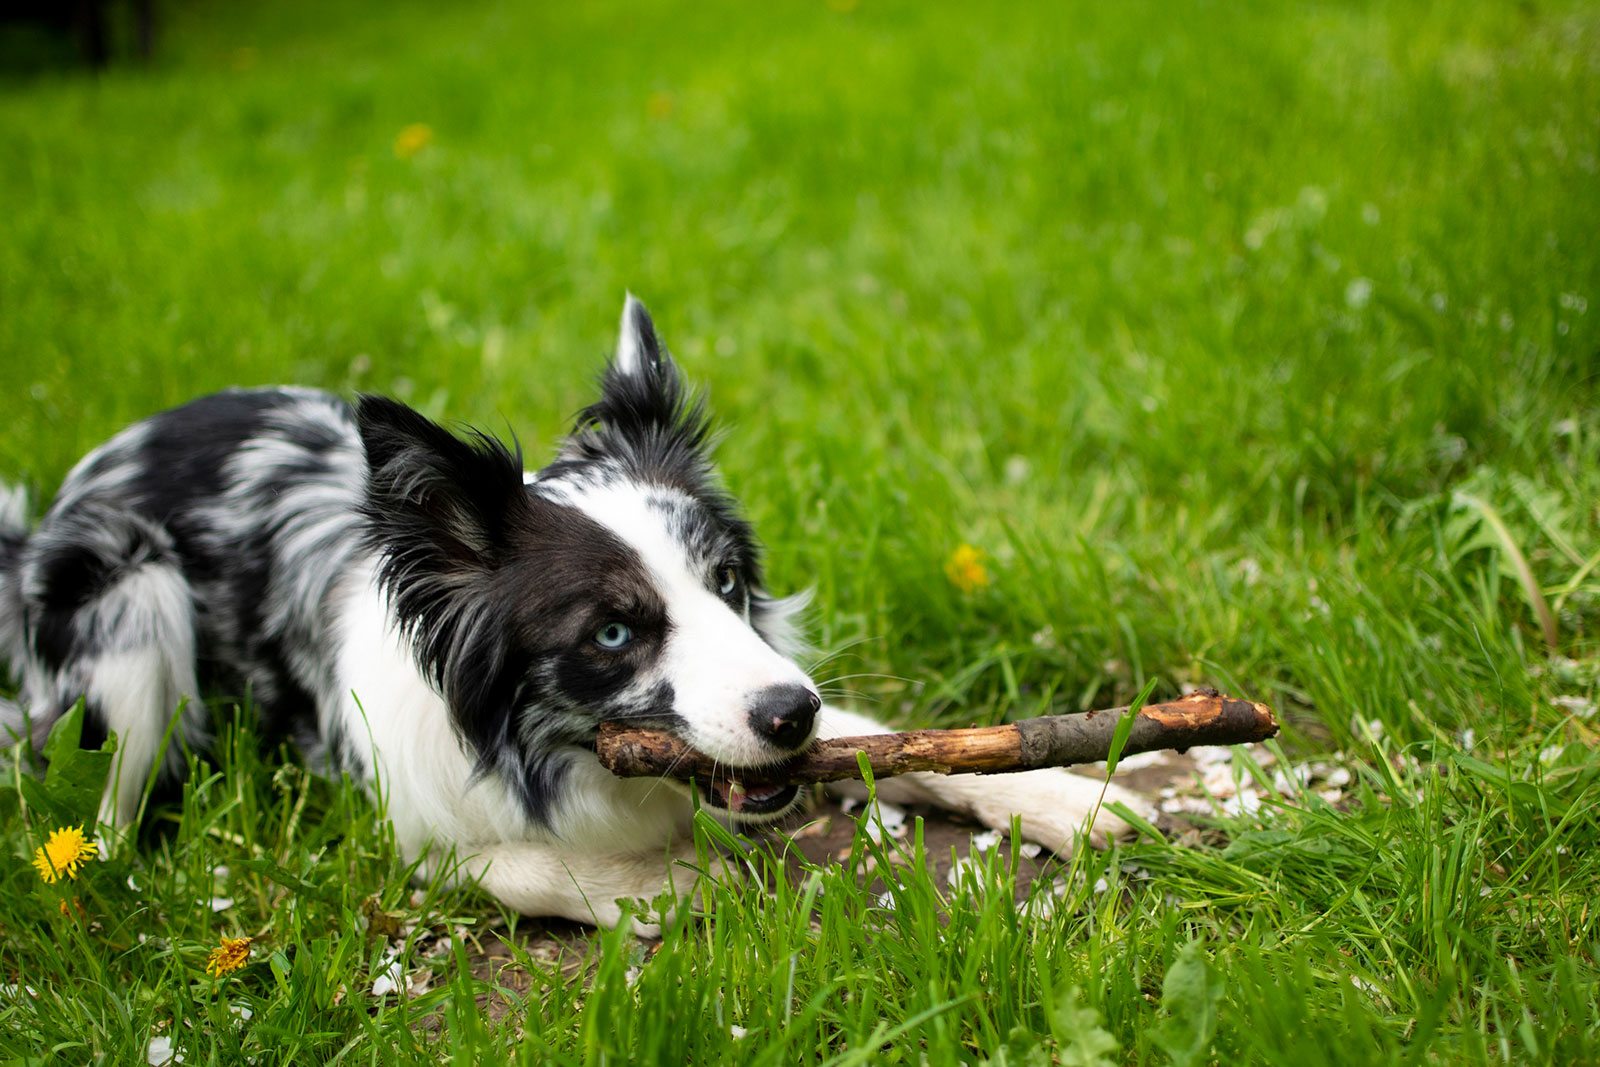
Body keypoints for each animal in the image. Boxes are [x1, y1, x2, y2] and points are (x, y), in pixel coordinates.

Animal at [3, 295, 1152, 927]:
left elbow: (902, 746)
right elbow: (513, 865)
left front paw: (1073, 794)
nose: (790, 716)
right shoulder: (408, 825)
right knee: (97, 828)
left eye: (725, 582)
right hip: (131, 591)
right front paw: (656, 886)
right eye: (611, 632)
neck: (569, 762)